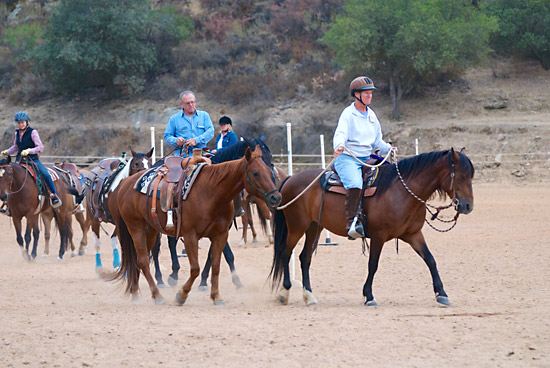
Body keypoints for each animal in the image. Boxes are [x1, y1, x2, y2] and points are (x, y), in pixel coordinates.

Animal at [274, 148, 476, 306]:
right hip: (296, 226)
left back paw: (309, 296)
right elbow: (373, 264)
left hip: (314, 227)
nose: (467, 206)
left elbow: (430, 260)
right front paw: (369, 296)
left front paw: (441, 294)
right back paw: (284, 292)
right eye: (460, 176)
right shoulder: (379, 236)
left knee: (305, 258)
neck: (402, 192)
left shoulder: (413, 235)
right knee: (285, 252)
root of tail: (290, 179)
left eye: (471, 176)